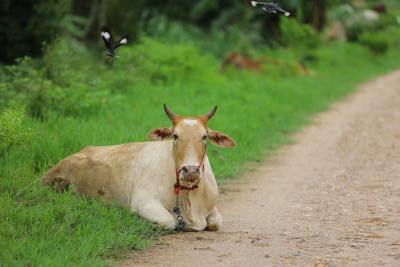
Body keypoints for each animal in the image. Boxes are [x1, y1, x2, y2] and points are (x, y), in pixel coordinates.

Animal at [43, 105, 238, 231]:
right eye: (175, 136)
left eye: (204, 137)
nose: (190, 170)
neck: (189, 197)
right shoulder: (143, 202)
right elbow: (169, 221)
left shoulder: (212, 208)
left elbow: (215, 222)